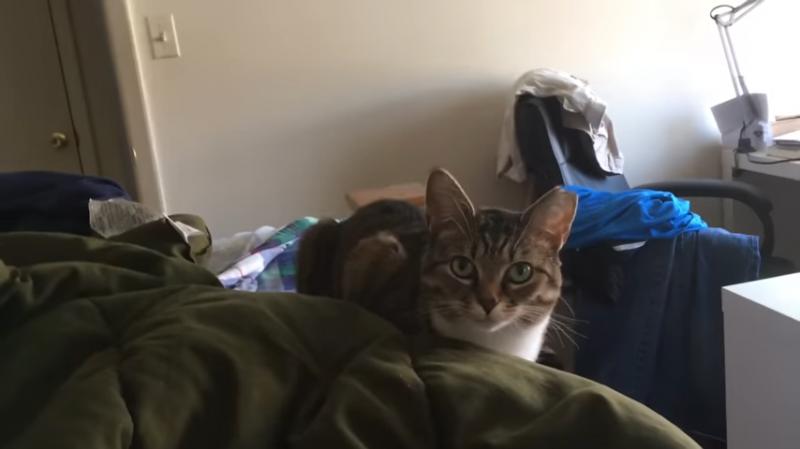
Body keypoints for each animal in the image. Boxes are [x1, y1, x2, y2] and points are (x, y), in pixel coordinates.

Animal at [297, 168, 577, 362]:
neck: (492, 345)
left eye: (521, 271)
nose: (488, 302)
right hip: (321, 232)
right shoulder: (375, 251)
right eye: (461, 267)